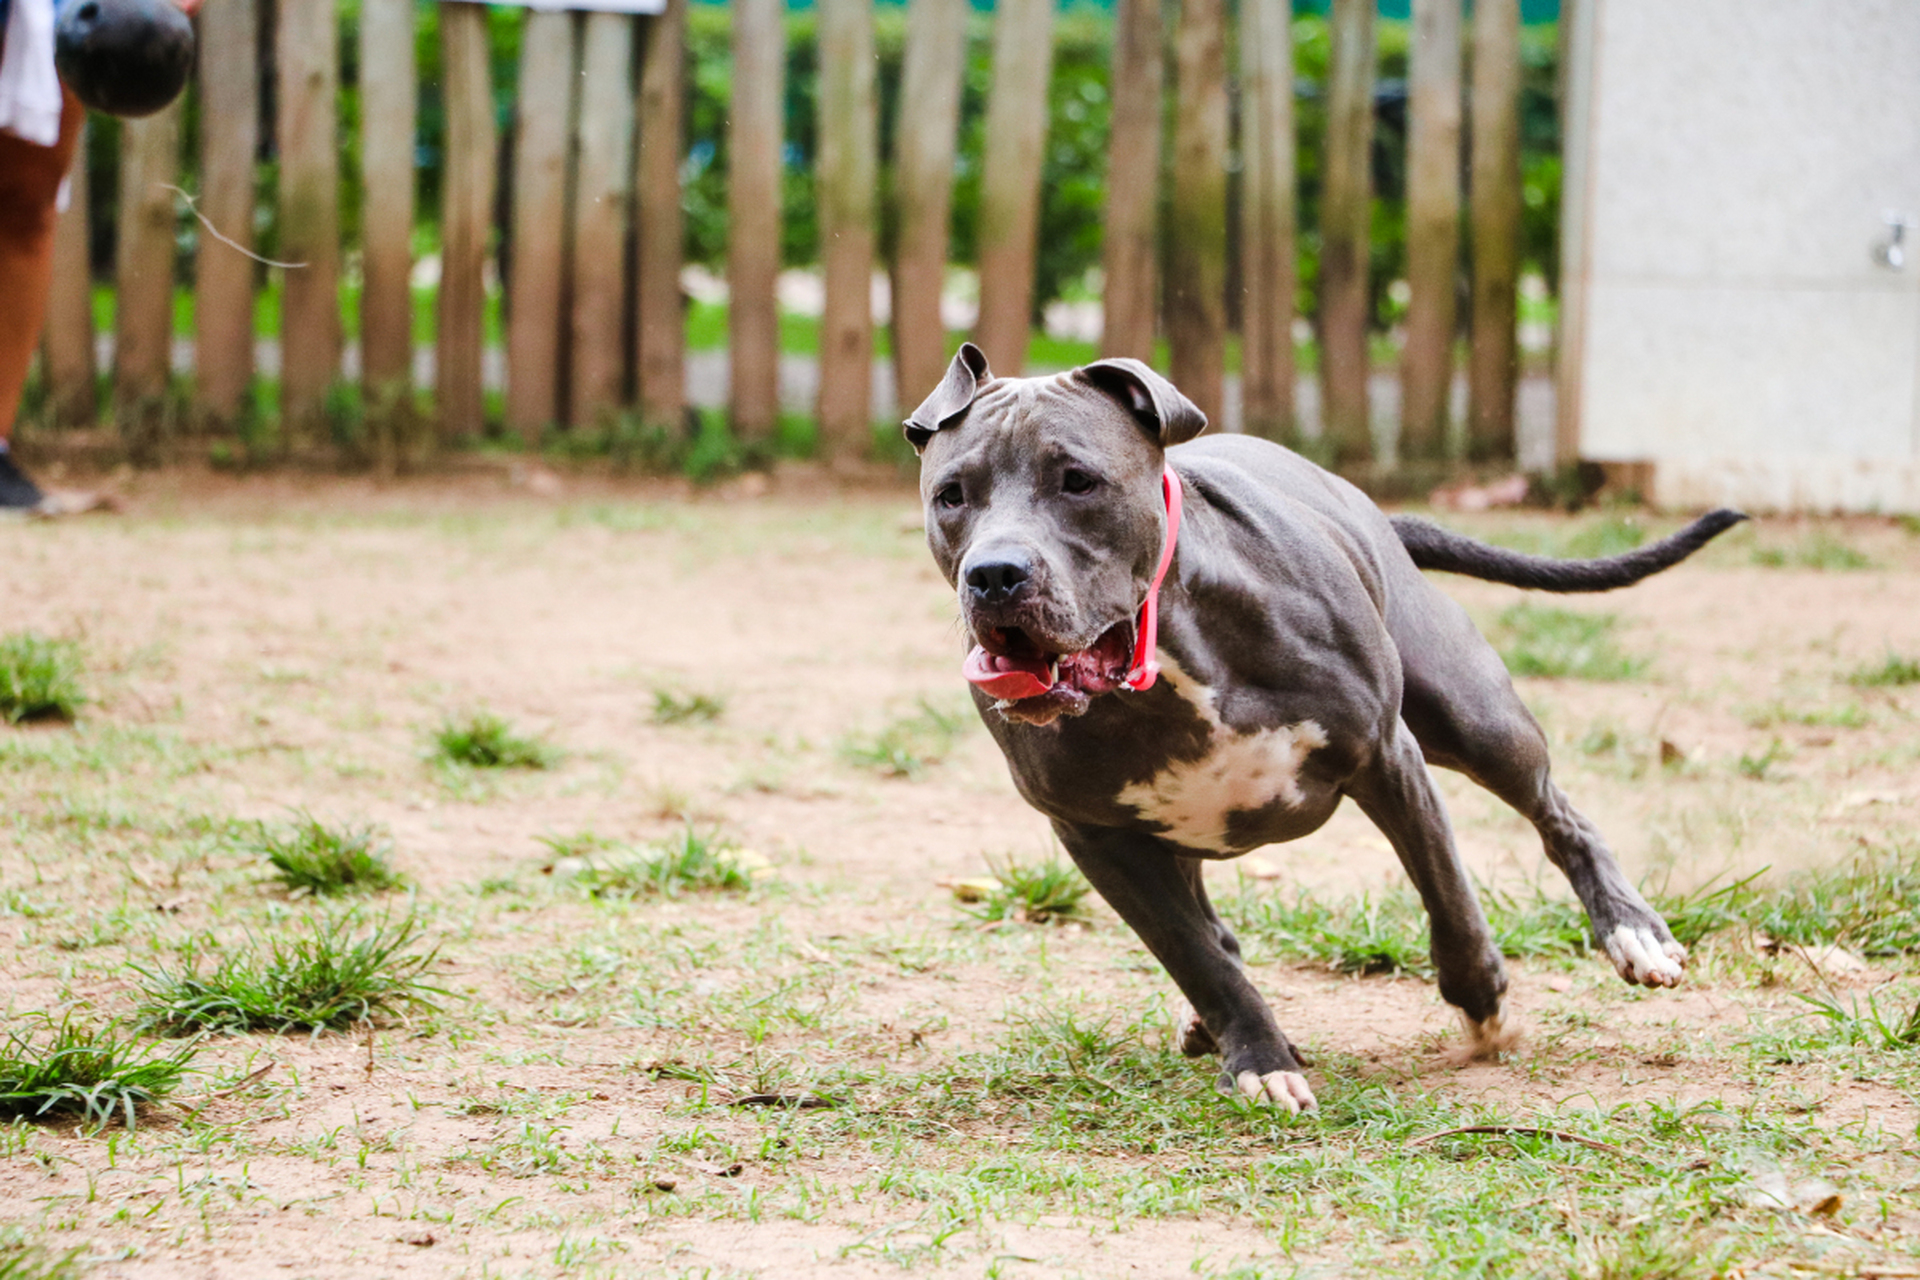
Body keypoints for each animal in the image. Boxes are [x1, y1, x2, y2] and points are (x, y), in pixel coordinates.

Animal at [906, 339, 1751, 1113]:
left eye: (1078, 480)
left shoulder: (1386, 757)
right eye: (951, 495)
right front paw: (1259, 1056)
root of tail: (1371, 510)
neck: (1167, 661)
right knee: (1212, 930)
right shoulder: (1098, 837)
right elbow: (1197, 957)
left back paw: (1633, 931)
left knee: (1559, 815)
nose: (995, 574)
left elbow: (1449, 897)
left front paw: (1485, 1002)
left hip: (1478, 720)